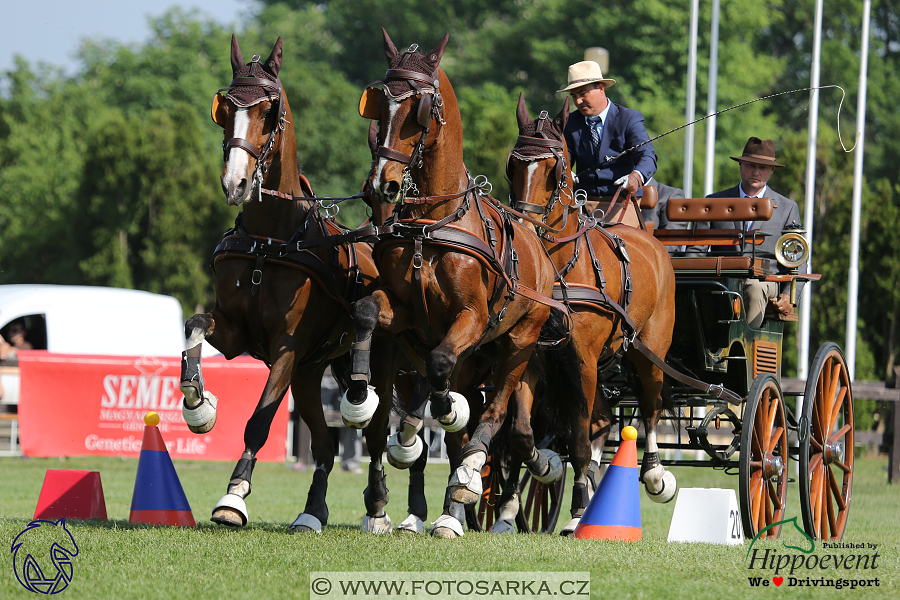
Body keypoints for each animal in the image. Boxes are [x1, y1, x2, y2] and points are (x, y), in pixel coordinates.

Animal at [180, 35, 412, 536]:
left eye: (269, 110)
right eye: (225, 108)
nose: (235, 183)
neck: (270, 239)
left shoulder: (287, 345)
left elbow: (259, 420)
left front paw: (234, 496)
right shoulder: (237, 334)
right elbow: (194, 323)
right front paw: (198, 403)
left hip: (374, 360)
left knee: (375, 434)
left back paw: (378, 508)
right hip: (310, 372)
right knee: (324, 446)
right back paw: (312, 511)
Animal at [342, 29, 568, 540]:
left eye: (419, 107)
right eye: (378, 103)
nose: (382, 185)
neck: (433, 221)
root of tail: (540, 247)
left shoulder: (472, 319)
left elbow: (444, 369)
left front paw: (447, 410)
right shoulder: (405, 313)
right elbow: (367, 313)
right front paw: (360, 395)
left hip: (519, 344)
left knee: (498, 415)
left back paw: (468, 484)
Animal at [506, 95, 676, 536]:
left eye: (555, 170)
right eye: (513, 165)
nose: (523, 225)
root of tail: (654, 245)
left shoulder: (580, 358)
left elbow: (580, 441)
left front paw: (580, 508)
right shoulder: (535, 357)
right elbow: (522, 434)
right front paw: (540, 475)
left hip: (648, 351)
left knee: (649, 406)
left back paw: (654, 474)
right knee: (600, 420)